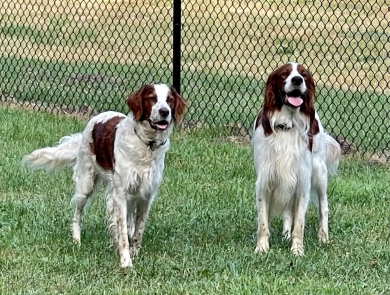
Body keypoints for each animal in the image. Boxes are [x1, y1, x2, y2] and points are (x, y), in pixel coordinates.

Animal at [22, 83, 186, 268]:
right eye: (152, 98)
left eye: (169, 100)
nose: (165, 112)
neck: (146, 144)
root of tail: (96, 118)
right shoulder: (121, 193)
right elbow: (122, 232)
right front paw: (126, 262)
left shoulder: (147, 195)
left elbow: (138, 230)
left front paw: (135, 254)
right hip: (86, 184)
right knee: (77, 212)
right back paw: (76, 240)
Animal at [251, 63, 340, 256]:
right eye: (285, 74)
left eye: (304, 75)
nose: (297, 80)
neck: (287, 125)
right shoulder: (265, 180)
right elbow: (263, 222)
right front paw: (262, 248)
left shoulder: (302, 180)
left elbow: (299, 223)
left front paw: (297, 250)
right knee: (287, 211)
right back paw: (285, 235)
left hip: (319, 173)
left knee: (323, 206)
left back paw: (323, 237)